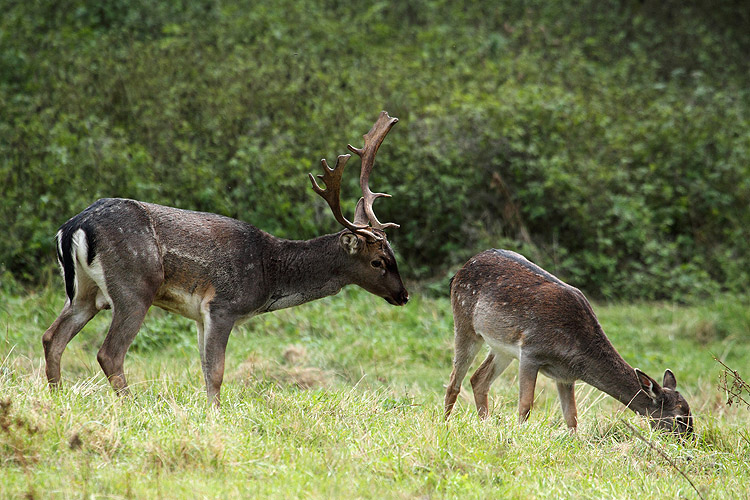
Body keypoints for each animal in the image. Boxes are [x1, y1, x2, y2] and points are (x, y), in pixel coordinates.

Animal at [43, 110, 408, 406]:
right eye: (378, 261)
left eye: (393, 255)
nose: (403, 295)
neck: (268, 272)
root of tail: (74, 225)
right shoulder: (223, 305)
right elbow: (216, 372)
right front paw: (216, 415)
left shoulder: (200, 316)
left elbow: (205, 370)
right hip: (134, 286)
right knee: (109, 353)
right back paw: (131, 405)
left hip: (85, 293)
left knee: (52, 337)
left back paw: (57, 397)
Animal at [444, 248, 696, 436]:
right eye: (679, 418)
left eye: (690, 413)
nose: (689, 443)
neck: (576, 353)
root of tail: (460, 270)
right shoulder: (531, 351)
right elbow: (525, 405)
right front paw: (519, 437)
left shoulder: (565, 376)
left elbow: (571, 418)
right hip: (464, 321)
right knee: (454, 381)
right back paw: (445, 425)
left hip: (501, 347)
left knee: (478, 379)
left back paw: (484, 425)